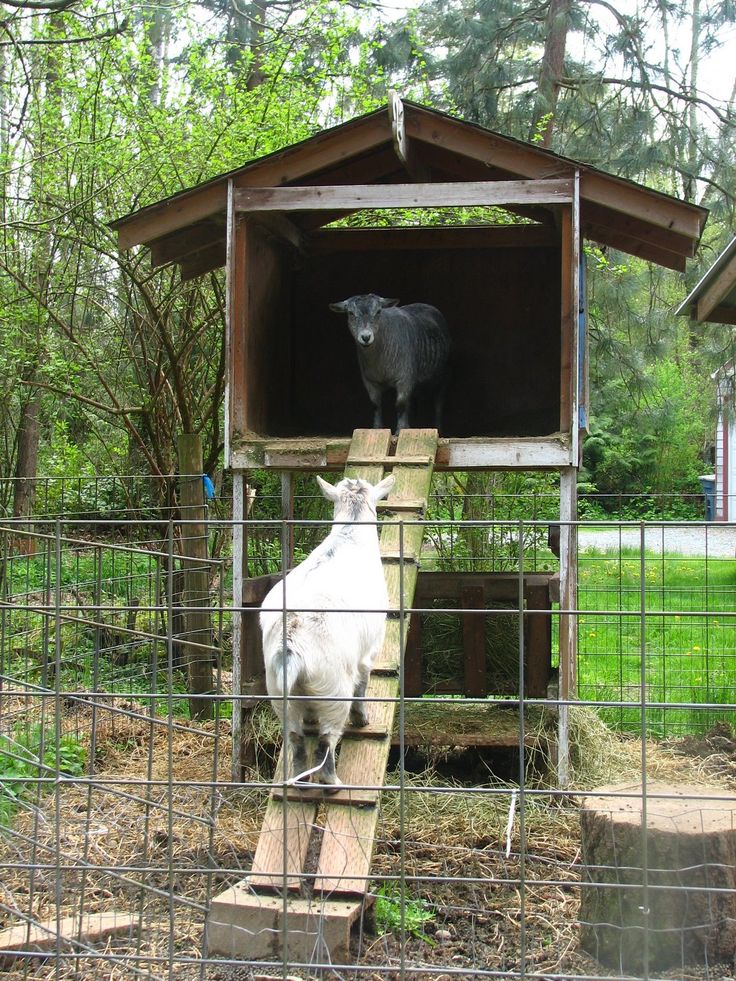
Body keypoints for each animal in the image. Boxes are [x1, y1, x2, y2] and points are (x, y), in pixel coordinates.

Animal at [260, 472, 394, 788]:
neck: (350, 533)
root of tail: (291, 644)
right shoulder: (370, 649)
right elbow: (364, 681)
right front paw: (363, 719)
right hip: (334, 690)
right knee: (326, 740)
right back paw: (331, 782)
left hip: (280, 695)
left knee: (295, 737)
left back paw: (300, 779)